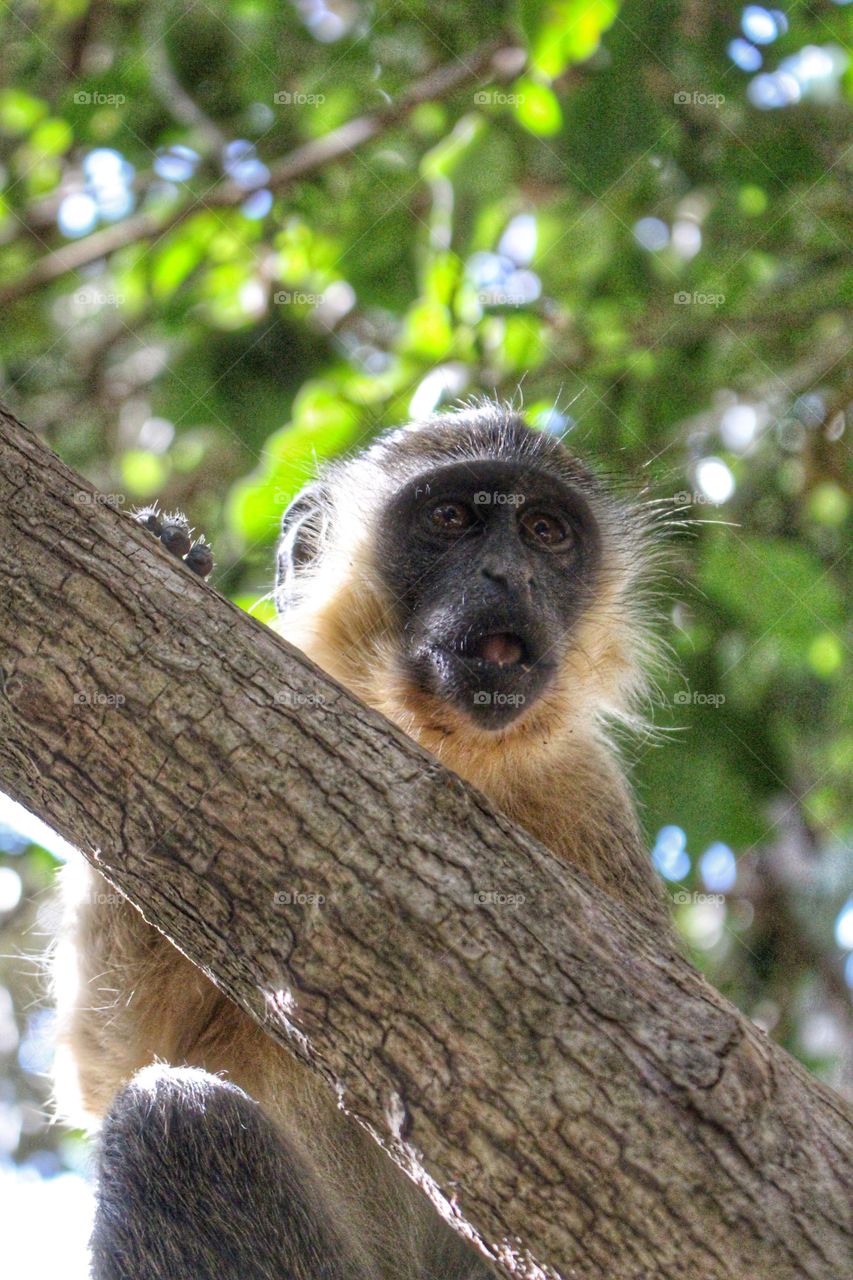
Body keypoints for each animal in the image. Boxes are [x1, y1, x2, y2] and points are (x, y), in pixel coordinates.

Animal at [51, 403, 673, 1280]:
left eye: (546, 533)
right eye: (451, 519)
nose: (509, 577)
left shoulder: (586, 792)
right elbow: (110, 1060)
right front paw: (167, 552)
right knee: (172, 1114)